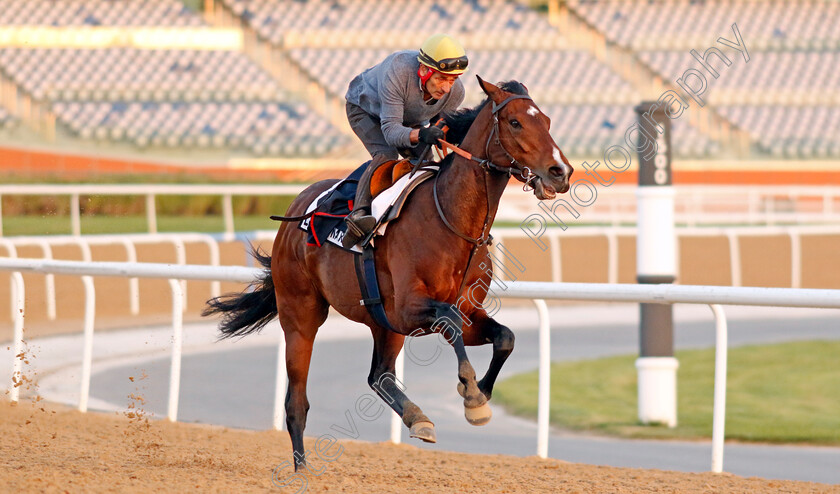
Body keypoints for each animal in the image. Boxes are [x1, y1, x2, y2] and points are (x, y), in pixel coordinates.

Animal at [203, 75, 572, 468]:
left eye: (547, 121)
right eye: (515, 122)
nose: (561, 172)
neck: (452, 220)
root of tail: (296, 208)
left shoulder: (465, 311)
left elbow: (504, 337)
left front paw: (479, 395)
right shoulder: (410, 308)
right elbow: (450, 321)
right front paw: (472, 396)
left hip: (383, 323)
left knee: (379, 375)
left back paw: (418, 418)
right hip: (301, 313)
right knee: (296, 402)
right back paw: (301, 468)